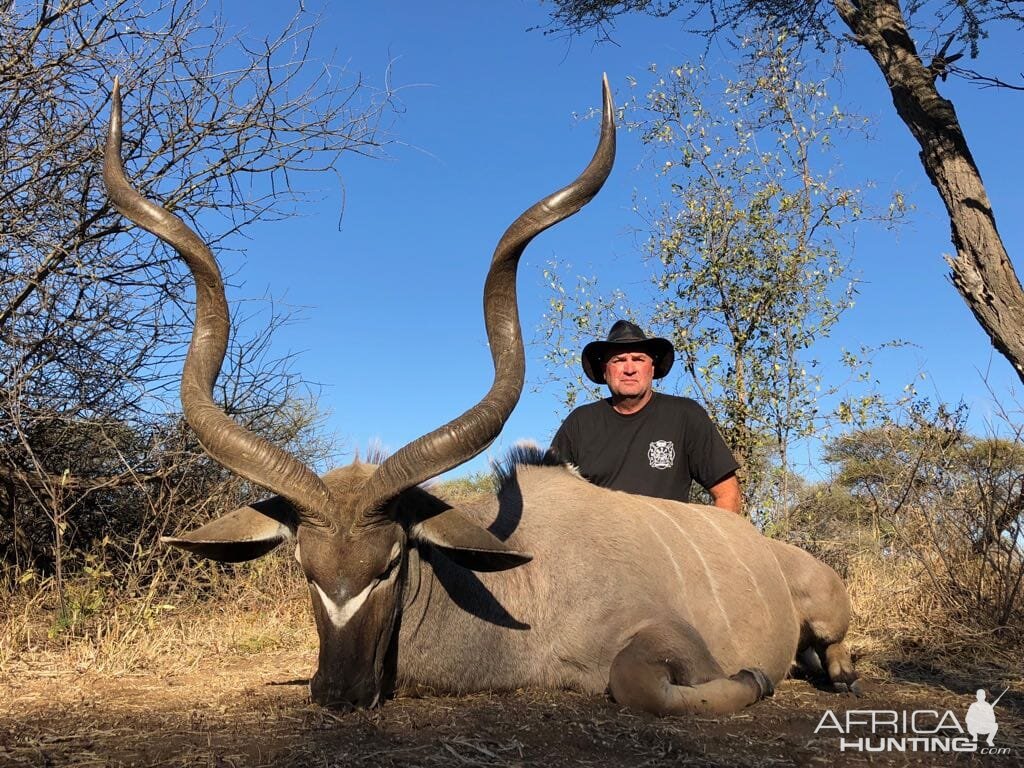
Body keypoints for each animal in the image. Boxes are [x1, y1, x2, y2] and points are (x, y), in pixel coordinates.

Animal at [103, 78, 860, 716]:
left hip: (828, 612)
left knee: (831, 651)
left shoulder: (670, 644)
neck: (523, 586)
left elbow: (646, 683)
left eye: (391, 563)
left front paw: (756, 676)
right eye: (305, 569)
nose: (338, 694)